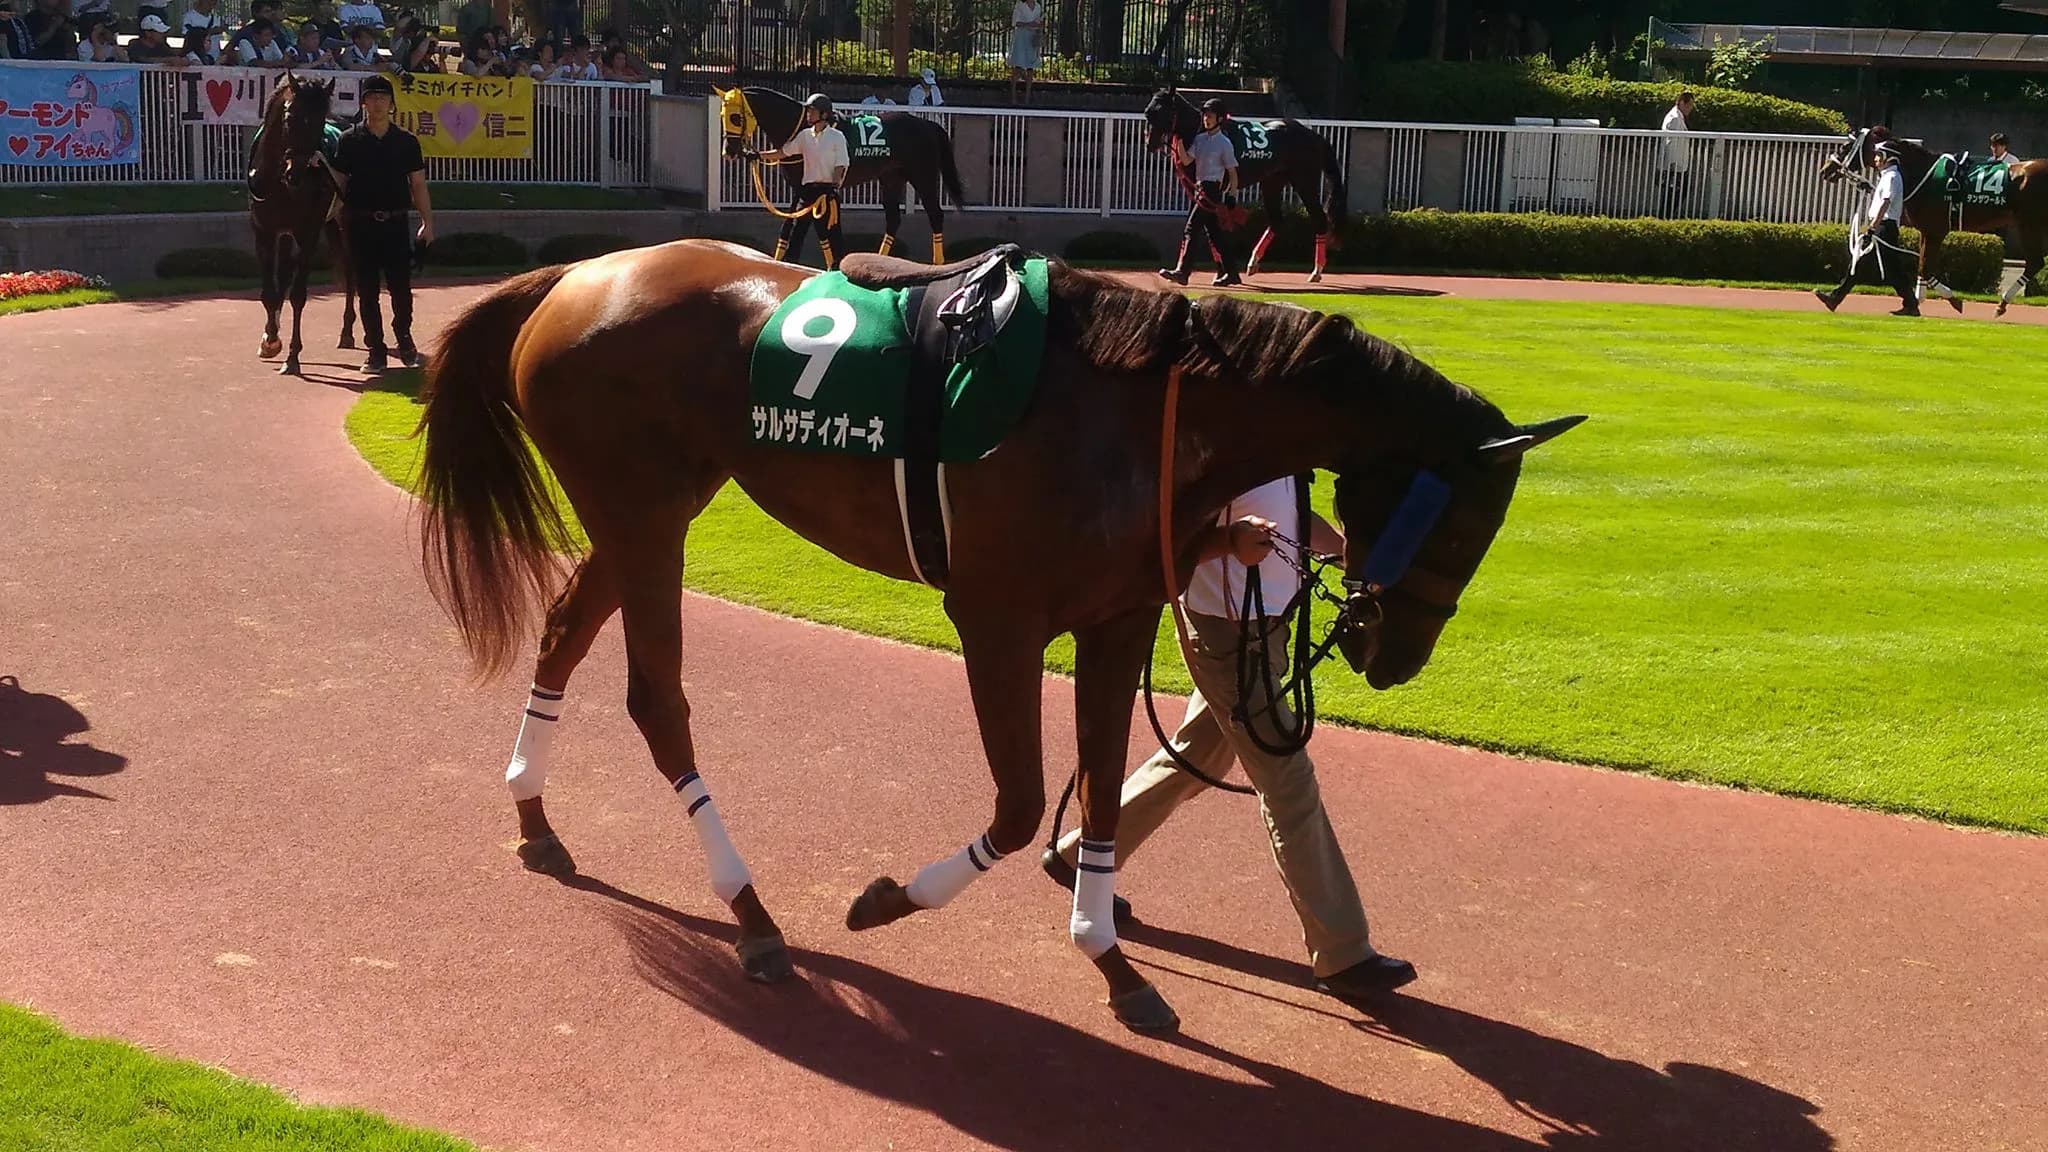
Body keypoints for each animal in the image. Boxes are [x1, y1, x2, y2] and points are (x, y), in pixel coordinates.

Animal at [248, 72, 356, 375]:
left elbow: (298, 295)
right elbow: (270, 292)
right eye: (290, 116)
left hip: (345, 220)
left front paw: (293, 356)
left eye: (320, 121)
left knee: (351, 270)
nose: (296, 171)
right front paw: (270, 339)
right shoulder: (265, 231)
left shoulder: (308, 232)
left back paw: (348, 331)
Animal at [410, 239, 1582, 1031]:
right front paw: (889, 900)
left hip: (651, 507)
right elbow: (1021, 807)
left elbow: (1101, 791)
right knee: (657, 702)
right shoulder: (996, 621)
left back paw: (535, 820)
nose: (1395, 657)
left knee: (561, 636)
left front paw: (1113, 962)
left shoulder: (1118, 618)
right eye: (1459, 522)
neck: (1140, 408)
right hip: (643, 511)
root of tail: (576, 274)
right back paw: (750, 915)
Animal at [714, 86, 969, 265]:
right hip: (891, 178)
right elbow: (793, 228)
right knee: (893, 219)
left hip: (922, 176)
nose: (729, 151)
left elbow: (804, 228)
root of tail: (927, 124)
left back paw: (937, 263)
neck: (802, 128)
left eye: (736, 117)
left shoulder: (810, 189)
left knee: (935, 215)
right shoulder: (802, 188)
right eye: (722, 115)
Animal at [1143, 88, 1349, 283]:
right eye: (1148, 113)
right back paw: (1253, 262)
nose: (1149, 144)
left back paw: (1316, 271)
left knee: (1319, 219)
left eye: (1162, 112)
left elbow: (1202, 225)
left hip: (1305, 181)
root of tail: (1315, 136)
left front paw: (1189, 272)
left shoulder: (1207, 190)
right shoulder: (1199, 189)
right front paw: (1222, 272)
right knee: (1276, 220)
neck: (1202, 133)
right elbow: (1209, 227)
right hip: (1272, 182)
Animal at [1820, 126, 2044, 316]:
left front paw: (1952, 299)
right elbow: (1921, 266)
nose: (1825, 170)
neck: (1922, 173)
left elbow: (1925, 268)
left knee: (2035, 262)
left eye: (1846, 146)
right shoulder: (1926, 231)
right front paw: (1915, 302)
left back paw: (2002, 303)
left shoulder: (1936, 231)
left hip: (2029, 224)